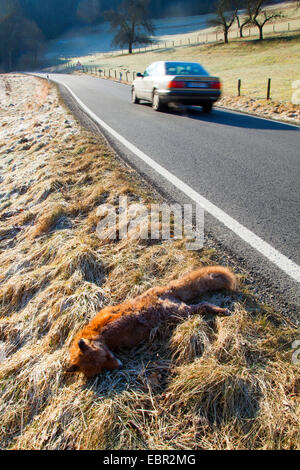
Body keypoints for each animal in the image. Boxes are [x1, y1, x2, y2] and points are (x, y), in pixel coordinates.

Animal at [67, 264, 236, 378]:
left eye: (107, 357)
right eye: (103, 368)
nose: (120, 366)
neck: (96, 335)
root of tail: (165, 290)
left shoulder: (106, 319)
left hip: (181, 313)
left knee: (204, 305)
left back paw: (221, 310)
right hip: (180, 312)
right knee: (202, 305)